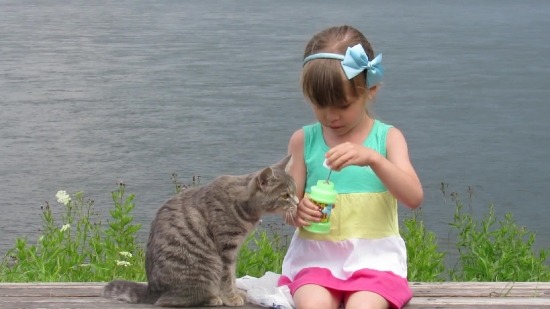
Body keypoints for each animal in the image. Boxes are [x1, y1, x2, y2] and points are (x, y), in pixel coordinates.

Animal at [100, 155, 298, 306]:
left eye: (294, 191)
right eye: (285, 195)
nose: (297, 202)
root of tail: (152, 291)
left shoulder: (233, 251)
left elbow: (233, 275)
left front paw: (235, 292)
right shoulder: (226, 248)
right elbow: (227, 277)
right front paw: (230, 297)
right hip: (207, 266)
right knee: (172, 300)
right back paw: (212, 298)